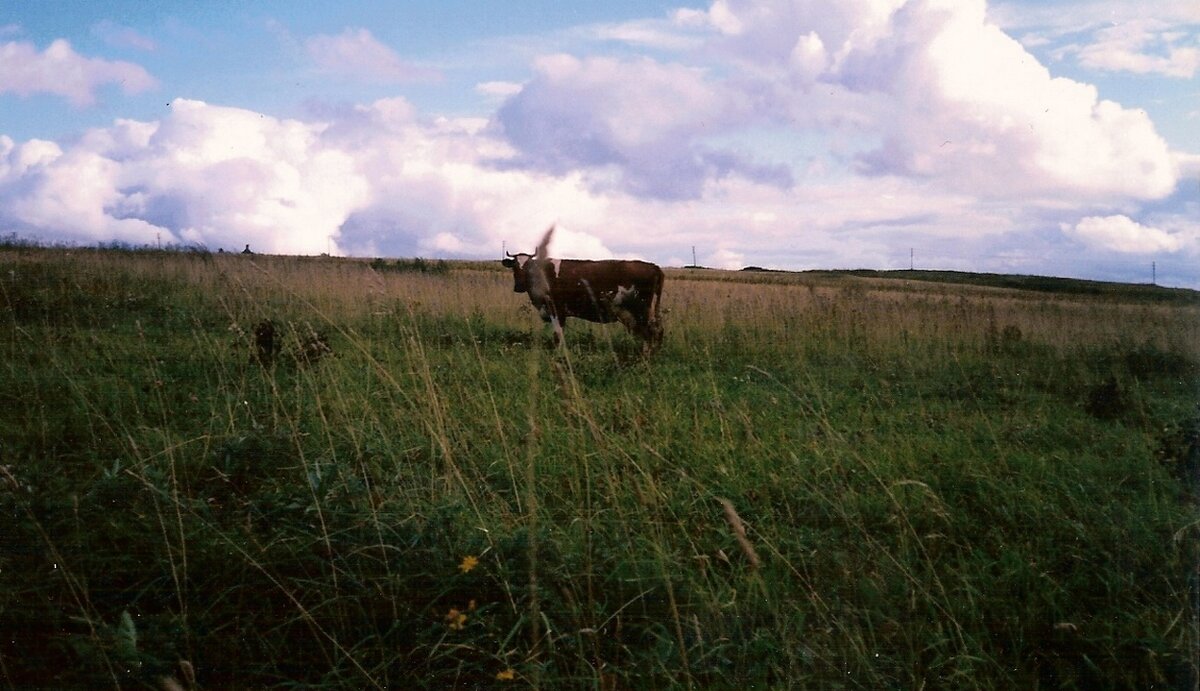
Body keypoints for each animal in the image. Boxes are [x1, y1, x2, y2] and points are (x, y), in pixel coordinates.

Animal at [499, 226, 667, 352]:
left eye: (529, 268)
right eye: (514, 267)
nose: (519, 286)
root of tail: (653, 266)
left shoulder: (557, 310)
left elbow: (558, 335)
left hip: (642, 309)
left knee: (649, 332)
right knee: (657, 330)